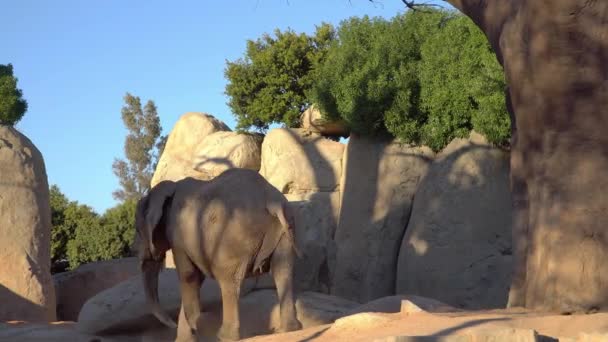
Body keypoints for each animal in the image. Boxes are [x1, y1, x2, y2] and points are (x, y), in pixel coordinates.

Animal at [134, 169, 302, 342]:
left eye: (137, 230)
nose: (171, 324)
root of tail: (271, 201)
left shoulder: (177, 236)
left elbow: (189, 276)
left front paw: (194, 328)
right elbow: (196, 278)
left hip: (232, 237)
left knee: (228, 279)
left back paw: (224, 337)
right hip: (285, 228)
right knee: (283, 269)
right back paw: (287, 329)